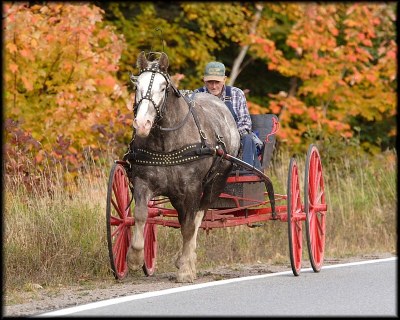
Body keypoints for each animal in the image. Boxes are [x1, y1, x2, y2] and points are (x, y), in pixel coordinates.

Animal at [123, 52, 239, 282]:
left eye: (162, 88)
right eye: (137, 85)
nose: (142, 124)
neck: (166, 143)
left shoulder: (192, 187)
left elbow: (189, 226)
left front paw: (186, 269)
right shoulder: (142, 182)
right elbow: (141, 215)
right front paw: (135, 258)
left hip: (215, 183)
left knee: (198, 216)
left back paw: (188, 258)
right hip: (176, 194)